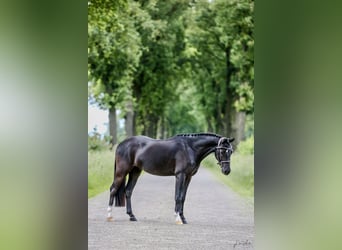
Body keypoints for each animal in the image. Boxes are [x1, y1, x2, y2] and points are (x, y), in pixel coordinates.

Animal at [107, 133, 235, 225]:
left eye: (231, 152)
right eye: (222, 150)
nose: (227, 171)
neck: (190, 148)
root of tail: (121, 144)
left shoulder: (188, 177)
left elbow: (183, 197)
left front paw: (183, 218)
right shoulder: (180, 175)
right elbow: (177, 196)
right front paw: (177, 218)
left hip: (135, 171)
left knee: (128, 191)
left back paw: (132, 216)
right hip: (121, 172)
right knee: (113, 189)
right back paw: (109, 216)